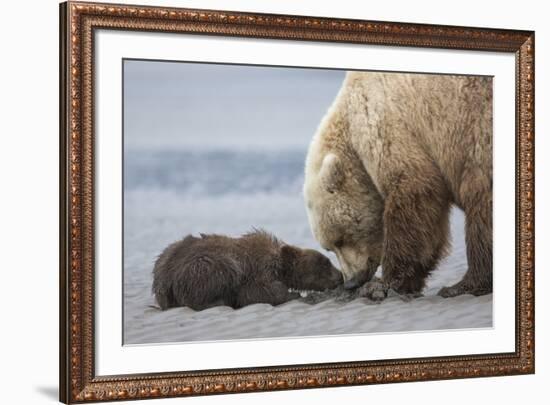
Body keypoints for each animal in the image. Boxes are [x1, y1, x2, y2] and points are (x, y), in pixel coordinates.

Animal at [153, 230, 342, 310]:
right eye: (326, 263)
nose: (340, 276)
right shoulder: (255, 270)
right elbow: (257, 292)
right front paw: (293, 294)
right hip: (202, 267)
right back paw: (219, 301)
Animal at [304, 71, 494, 298]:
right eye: (329, 247)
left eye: (340, 239)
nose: (351, 281)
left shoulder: (386, 123)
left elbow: (414, 193)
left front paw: (385, 283)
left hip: (477, 133)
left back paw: (463, 285)